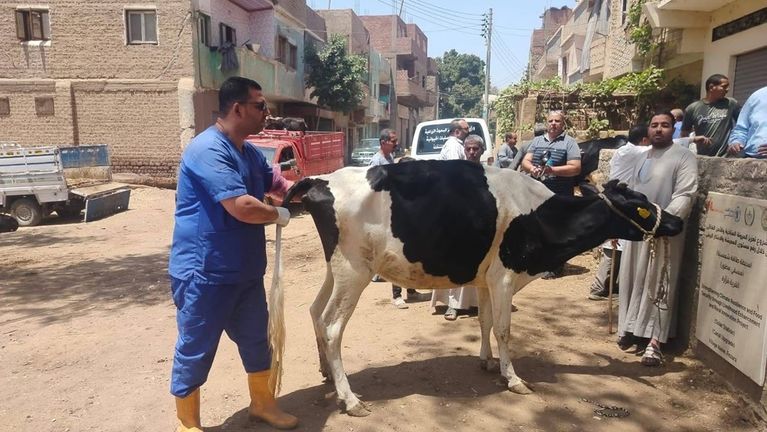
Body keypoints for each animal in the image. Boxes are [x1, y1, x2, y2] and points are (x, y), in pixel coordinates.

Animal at [274, 160, 683, 416]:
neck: (540, 216)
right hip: (355, 271)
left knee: (315, 311)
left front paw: (486, 362)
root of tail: (321, 179)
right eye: (642, 208)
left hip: (338, 270)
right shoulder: (505, 275)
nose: (677, 222)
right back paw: (349, 399)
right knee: (331, 326)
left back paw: (328, 374)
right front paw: (513, 378)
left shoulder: (487, 278)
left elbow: (485, 321)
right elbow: (503, 328)